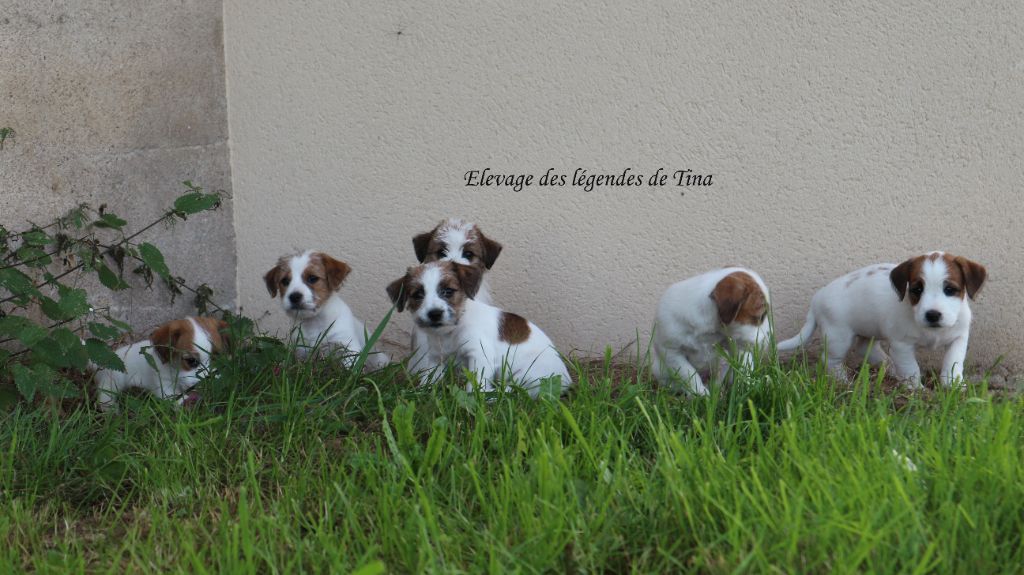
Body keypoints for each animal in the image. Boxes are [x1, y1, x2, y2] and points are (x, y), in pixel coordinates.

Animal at [95, 313, 228, 411]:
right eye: (191, 361)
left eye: (217, 358)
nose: (209, 382)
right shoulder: (164, 385)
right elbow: (176, 398)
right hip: (112, 380)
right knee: (105, 394)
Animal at [387, 260, 573, 399]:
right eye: (418, 295)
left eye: (448, 291)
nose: (434, 313)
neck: (452, 330)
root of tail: (566, 380)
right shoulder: (436, 358)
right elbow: (429, 379)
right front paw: (421, 391)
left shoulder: (480, 354)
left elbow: (474, 386)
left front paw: (478, 396)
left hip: (527, 374)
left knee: (522, 391)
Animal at [778, 249, 987, 386]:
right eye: (917, 290)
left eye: (950, 289)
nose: (933, 314)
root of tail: (816, 298)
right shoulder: (902, 346)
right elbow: (911, 369)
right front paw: (916, 391)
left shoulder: (958, 338)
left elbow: (953, 363)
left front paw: (953, 387)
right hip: (838, 337)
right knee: (830, 360)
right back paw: (844, 381)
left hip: (868, 330)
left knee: (865, 348)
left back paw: (889, 367)